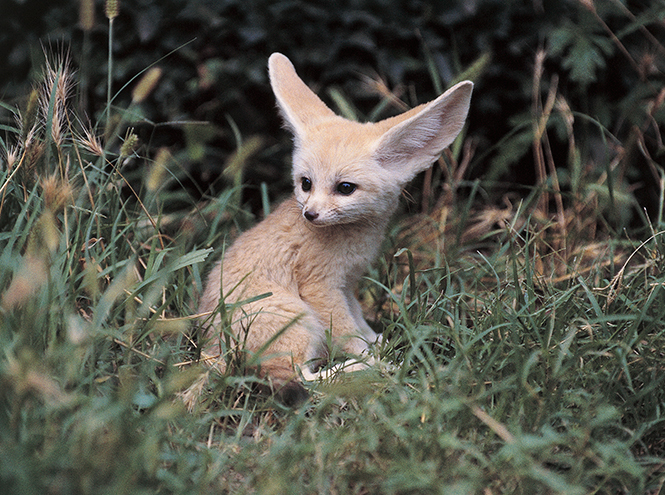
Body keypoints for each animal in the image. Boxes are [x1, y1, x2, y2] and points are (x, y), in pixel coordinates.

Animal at [197, 52, 472, 398]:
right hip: (300, 320)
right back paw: (374, 371)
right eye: (306, 183)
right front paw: (374, 358)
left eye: (345, 188)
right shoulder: (321, 287)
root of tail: (210, 349)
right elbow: (349, 335)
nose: (310, 214)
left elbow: (361, 325)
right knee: (303, 379)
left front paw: (381, 343)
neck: (354, 238)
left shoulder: (347, 285)